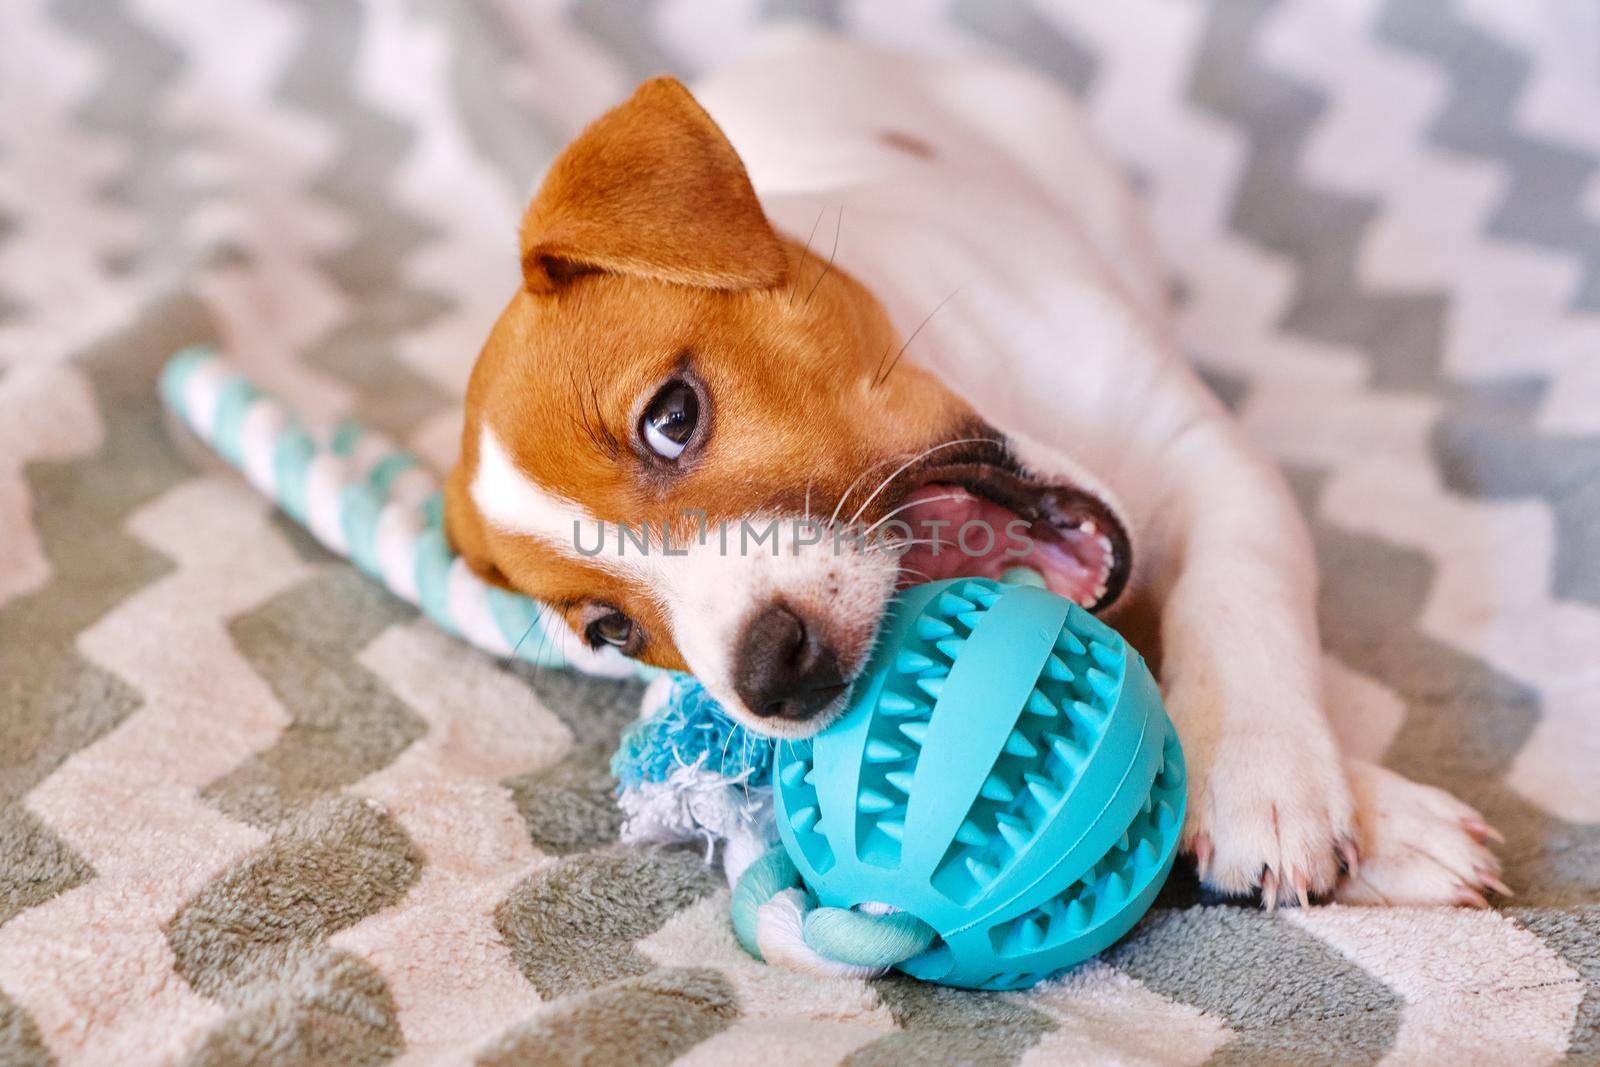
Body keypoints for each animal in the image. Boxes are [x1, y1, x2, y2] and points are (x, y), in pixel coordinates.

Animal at [444, 39, 1504, 908]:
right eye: (609, 630)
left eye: (672, 416)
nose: (775, 678)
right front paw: (1379, 818)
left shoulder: (1210, 457)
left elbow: (1235, 599)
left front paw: (1269, 778)